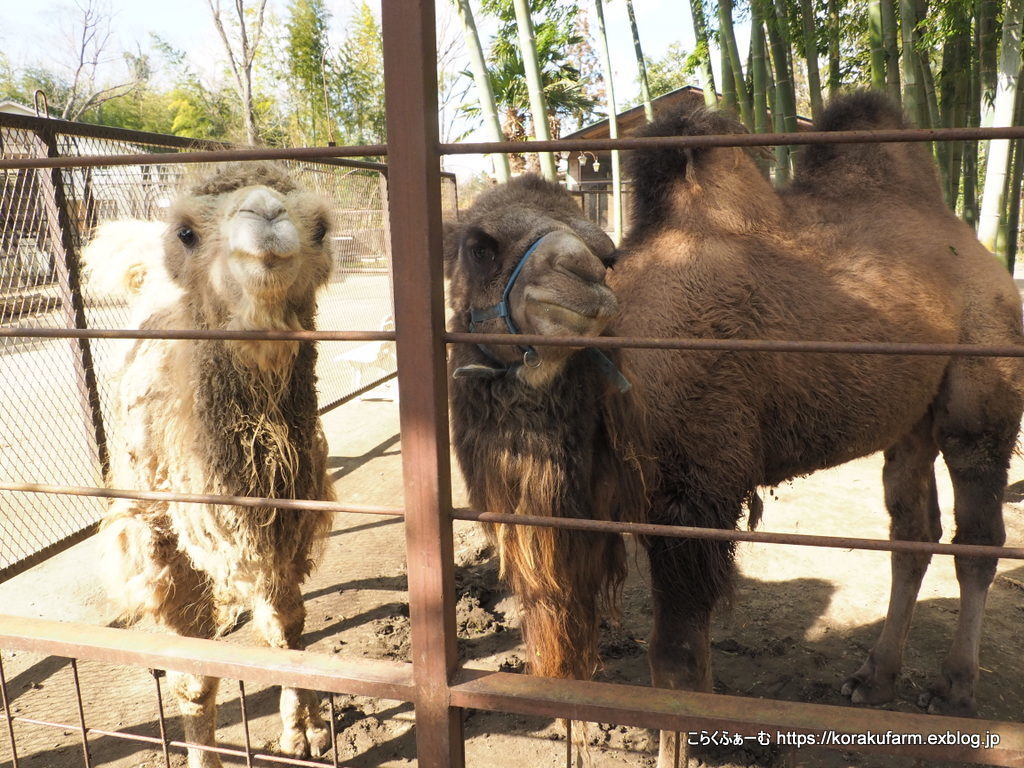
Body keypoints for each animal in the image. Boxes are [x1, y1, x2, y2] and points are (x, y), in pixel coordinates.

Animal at [93, 163, 335, 768]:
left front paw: (305, 731)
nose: (266, 214)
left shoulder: (289, 527)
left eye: (320, 228)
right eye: (186, 232)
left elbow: (286, 632)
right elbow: (195, 680)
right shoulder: (157, 543)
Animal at [444, 91, 1019, 768]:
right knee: (913, 531)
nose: (579, 276)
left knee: (978, 535)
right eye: (480, 246)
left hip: (980, 389)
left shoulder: (694, 498)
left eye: (604, 251)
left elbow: (676, 663)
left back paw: (954, 688)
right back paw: (873, 677)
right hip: (909, 419)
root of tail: (984, 258)